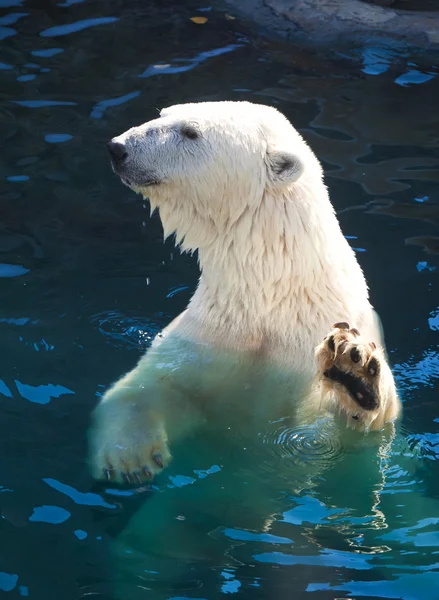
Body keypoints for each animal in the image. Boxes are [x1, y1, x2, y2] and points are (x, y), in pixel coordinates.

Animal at [92, 102, 402, 488]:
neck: (271, 299)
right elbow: (146, 388)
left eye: (190, 132)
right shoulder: (209, 339)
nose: (118, 147)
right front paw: (130, 459)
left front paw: (354, 372)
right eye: (163, 114)